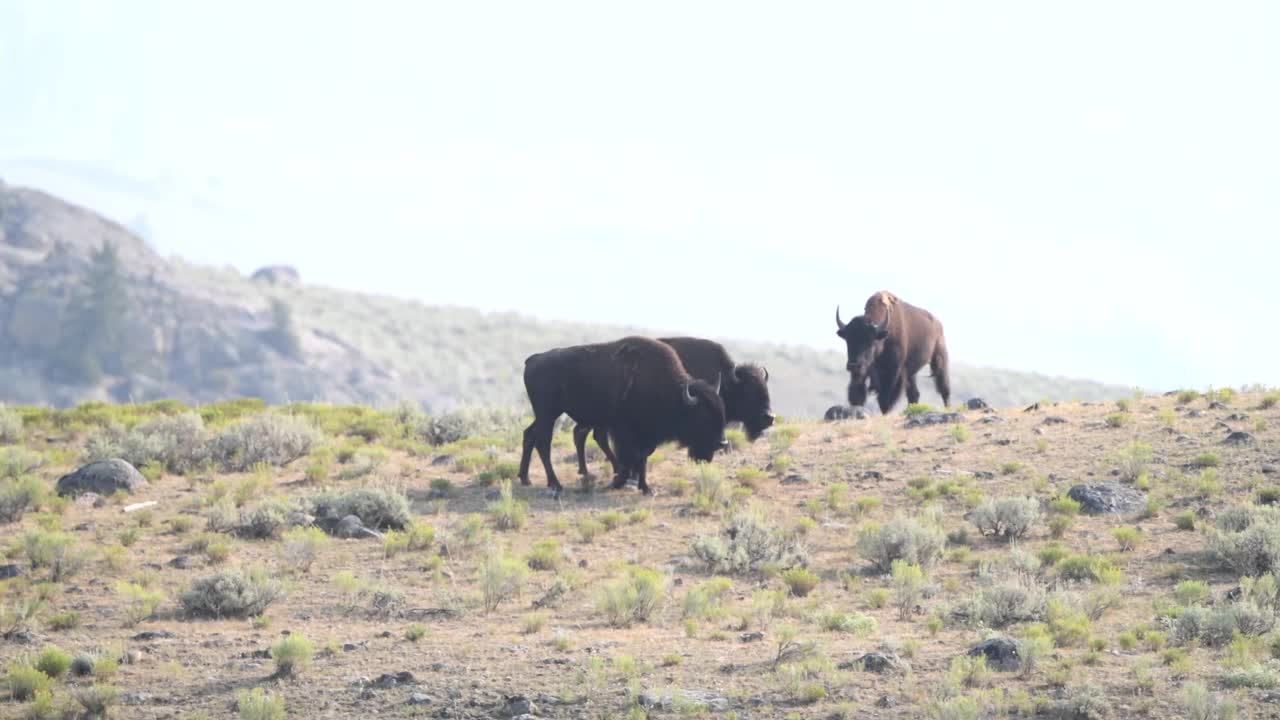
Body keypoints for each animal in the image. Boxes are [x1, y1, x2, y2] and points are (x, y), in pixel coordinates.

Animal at [517, 335, 721, 491]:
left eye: (721, 413)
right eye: (703, 417)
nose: (720, 444)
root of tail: (533, 359)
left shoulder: (645, 435)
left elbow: (643, 455)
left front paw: (645, 487)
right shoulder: (625, 432)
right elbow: (633, 455)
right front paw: (621, 480)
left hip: (547, 415)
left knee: (530, 435)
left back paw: (525, 478)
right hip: (547, 414)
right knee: (543, 442)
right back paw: (555, 484)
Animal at [573, 335, 773, 479]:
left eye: (765, 389)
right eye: (750, 392)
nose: (770, 418)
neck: (728, 381)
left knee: (589, 435)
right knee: (587, 435)